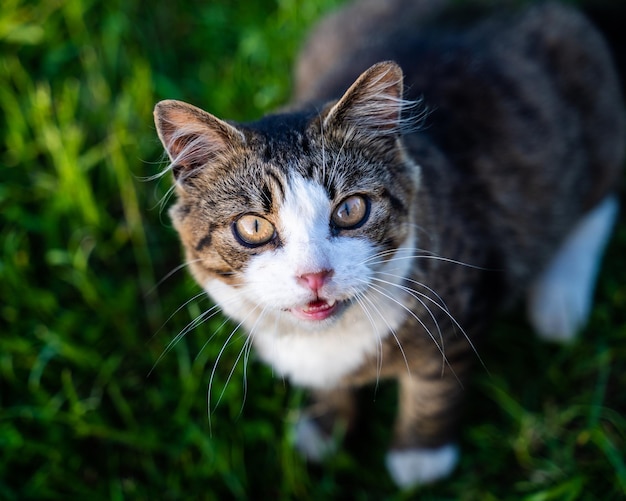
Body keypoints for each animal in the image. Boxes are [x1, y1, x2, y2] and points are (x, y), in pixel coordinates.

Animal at [154, 0, 620, 488]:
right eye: (253, 228)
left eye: (351, 209)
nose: (314, 275)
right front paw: (325, 427)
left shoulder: (457, 308)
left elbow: (436, 384)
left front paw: (420, 458)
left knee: (600, 195)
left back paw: (560, 300)